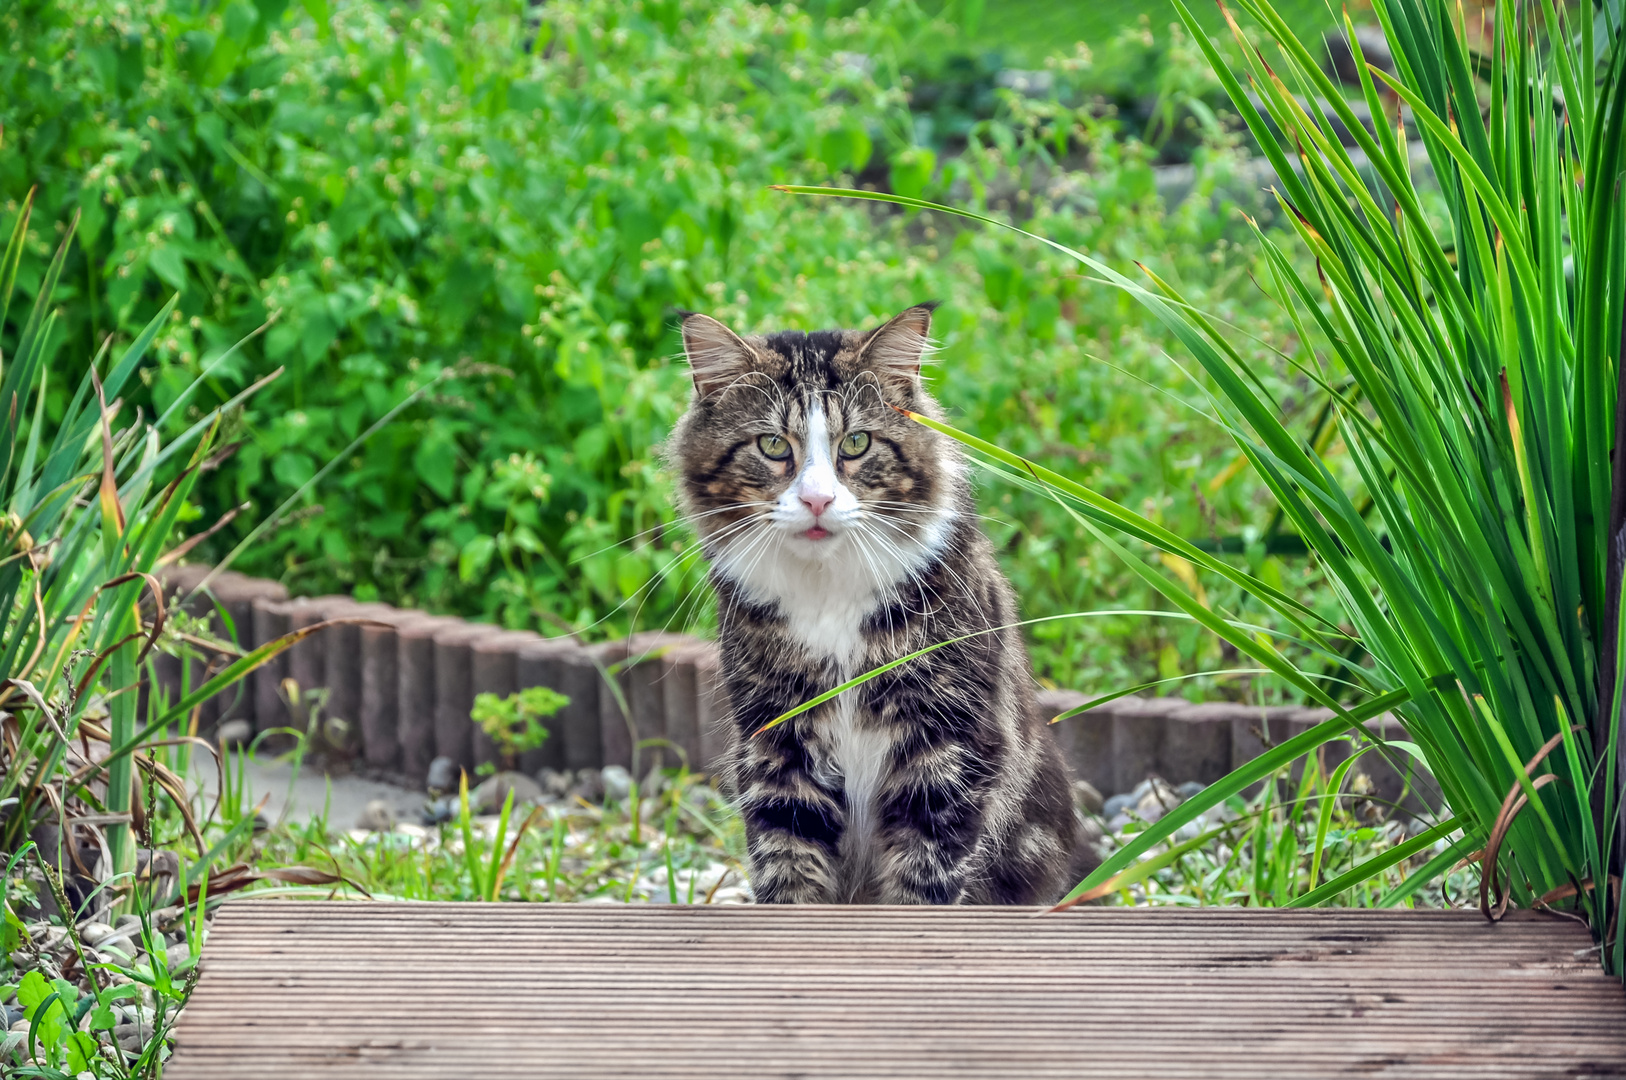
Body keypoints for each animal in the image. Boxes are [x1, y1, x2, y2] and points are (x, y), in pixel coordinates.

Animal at [666, 304, 1086, 904]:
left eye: (857, 443)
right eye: (773, 446)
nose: (818, 500)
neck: (828, 596)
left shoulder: (946, 747)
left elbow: (922, 882)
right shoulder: (778, 744)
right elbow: (790, 871)